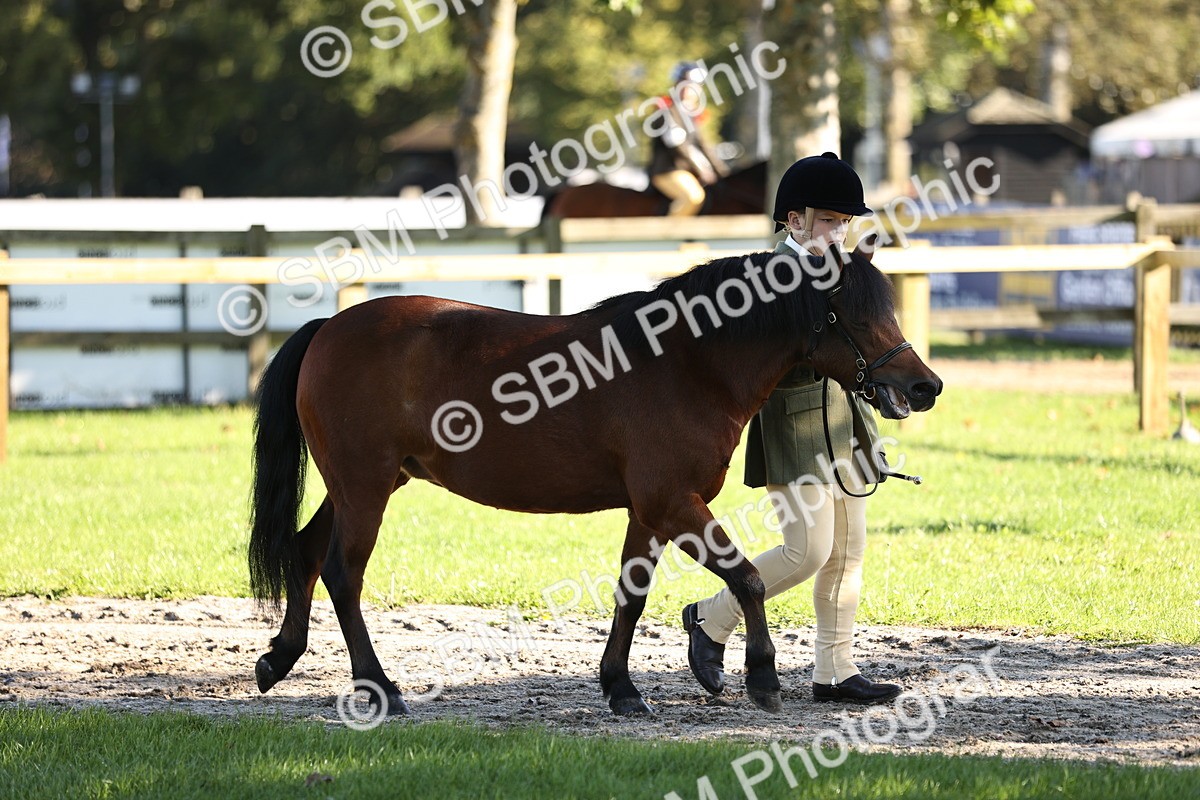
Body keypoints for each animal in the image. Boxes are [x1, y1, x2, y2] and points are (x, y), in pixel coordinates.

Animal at [248, 238, 942, 717]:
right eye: (855, 315)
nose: (924, 386)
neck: (687, 362)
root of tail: (330, 327)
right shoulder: (673, 503)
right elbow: (745, 577)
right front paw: (763, 679)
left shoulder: (649, 513)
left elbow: (631, 598)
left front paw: (622, 688)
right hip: (365, 488)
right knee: (342, 574)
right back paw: (380, 688)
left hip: (368, 485)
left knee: (306, 552)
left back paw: (277, 660)